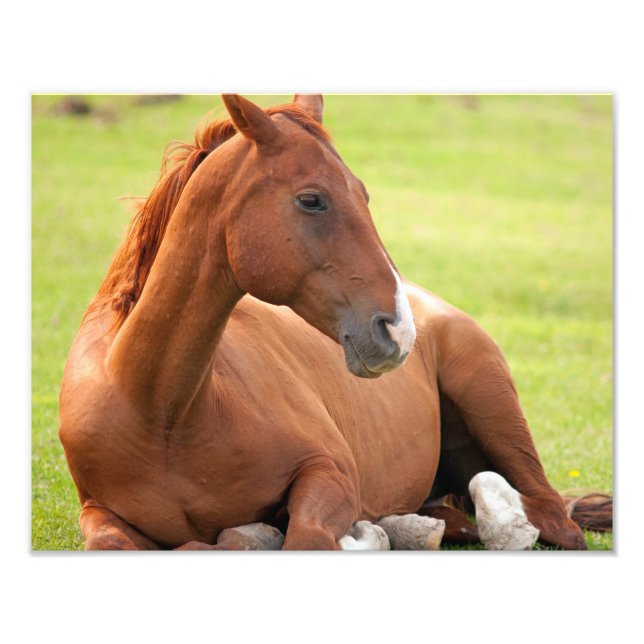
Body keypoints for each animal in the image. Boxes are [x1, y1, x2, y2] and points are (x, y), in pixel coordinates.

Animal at [59, 94, 591, 550]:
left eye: (364, 194)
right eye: (311, 199)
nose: (400, 330)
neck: (160, 410)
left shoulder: (329, 472)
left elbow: (303, 537)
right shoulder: (97, 512)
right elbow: (116, 542)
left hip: (492, 406)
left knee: (546, 520)